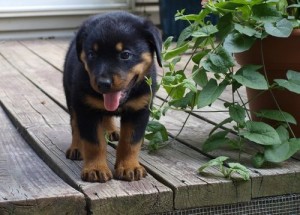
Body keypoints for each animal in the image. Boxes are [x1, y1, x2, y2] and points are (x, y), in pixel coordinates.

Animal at [62, 11, 162, 182]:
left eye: (125, 55)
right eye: (91, 54)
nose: (103, 83)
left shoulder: (139, 109)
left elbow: (130, 142)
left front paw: (129, 166)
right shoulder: (86, 108)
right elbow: (93, 143)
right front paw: (95, 169)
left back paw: (111, 131)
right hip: (71, 97)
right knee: (75, 124)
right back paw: (76, 147)